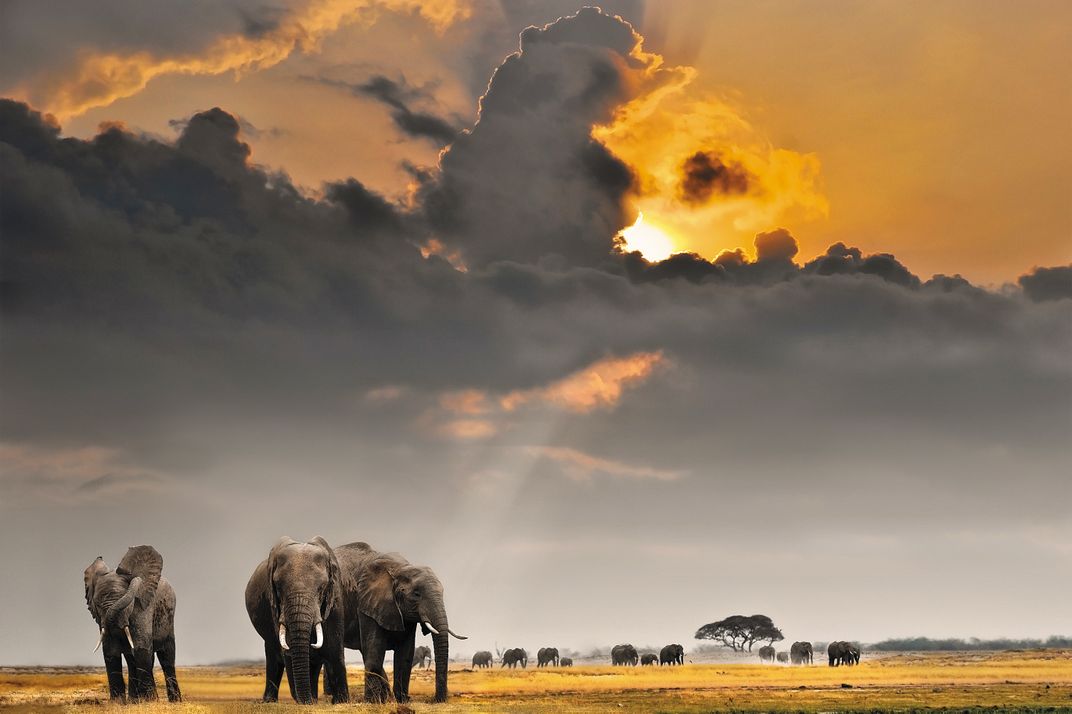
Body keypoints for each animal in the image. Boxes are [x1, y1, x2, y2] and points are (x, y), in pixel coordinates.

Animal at [84, 545, 181, 703]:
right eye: (97, 605)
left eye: (127, 602)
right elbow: (110, 651)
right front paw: (118, 703)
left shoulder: (142, 607)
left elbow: (141, 647)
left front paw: (149, 702)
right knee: (132, 659)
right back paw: (134, 701)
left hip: (168, 618)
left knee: (167, 657)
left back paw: (174, 701)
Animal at [245, 536, 350, 705]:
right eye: (278, 588)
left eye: (321, 588)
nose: (307, 700)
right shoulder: (274, 606)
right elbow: (287, 650)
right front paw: (307, 701)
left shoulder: (335, 599)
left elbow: (333, 647)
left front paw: (341, 701)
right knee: (273, 656)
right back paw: (271, 701)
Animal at [335, 541, 466, 703]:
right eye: (417, 594)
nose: (436, 700)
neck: (399, 568)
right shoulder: (366, 603)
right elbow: (375, 649)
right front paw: (372, 702)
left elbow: (405, 654)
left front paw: (402, 700)